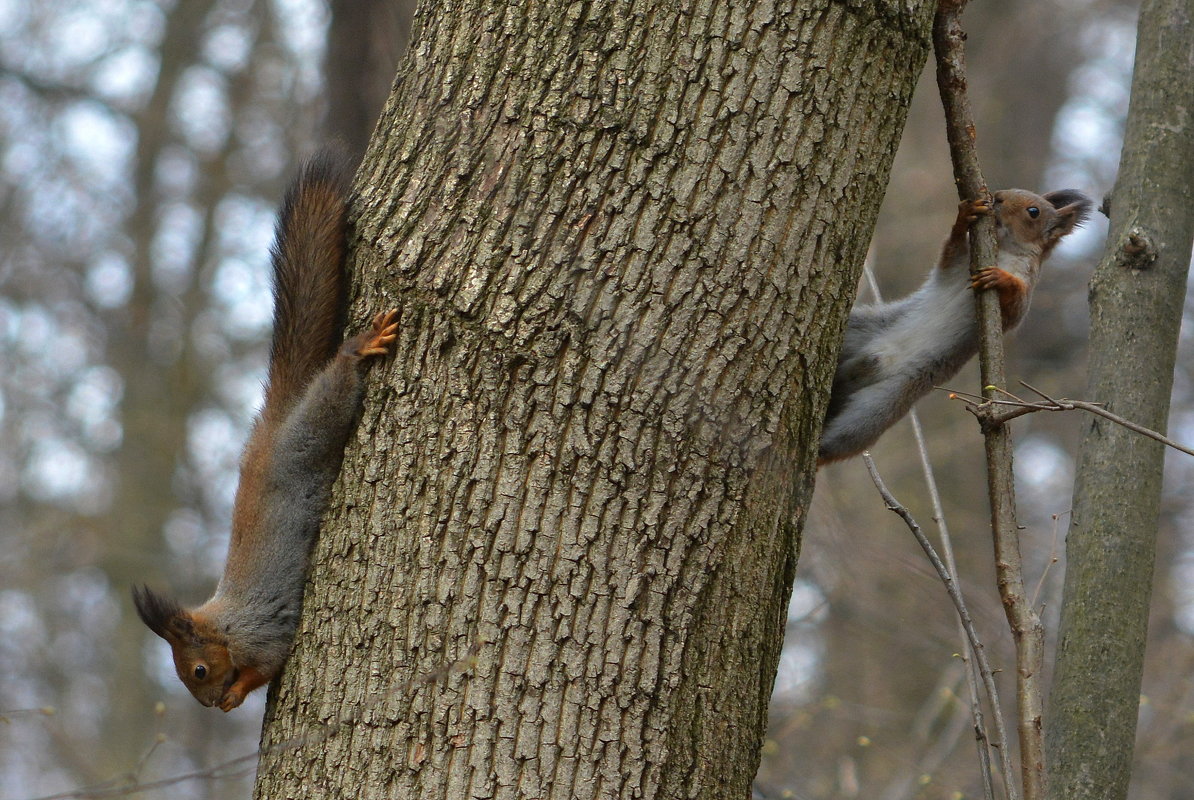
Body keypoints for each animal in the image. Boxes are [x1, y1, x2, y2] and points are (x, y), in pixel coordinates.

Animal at [131, 152, 396, 716]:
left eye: (198, 670)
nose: (209, 704)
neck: (226, 625)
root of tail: (271, 426)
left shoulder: (264, 632)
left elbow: (268, 664)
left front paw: (237, 693)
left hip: (308, 435)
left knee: (334, 393)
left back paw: (358, 349)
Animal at [821, 189, 1093, 463]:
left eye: (1033, 212)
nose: (998, 197)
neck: (1004, 250)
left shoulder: (1023, 294)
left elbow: (1014, 305)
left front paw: (1001, 278)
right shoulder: (959, 264)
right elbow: (949, 251)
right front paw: (966, 215)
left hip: (878, 408)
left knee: (839, 443)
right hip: (858, 330)